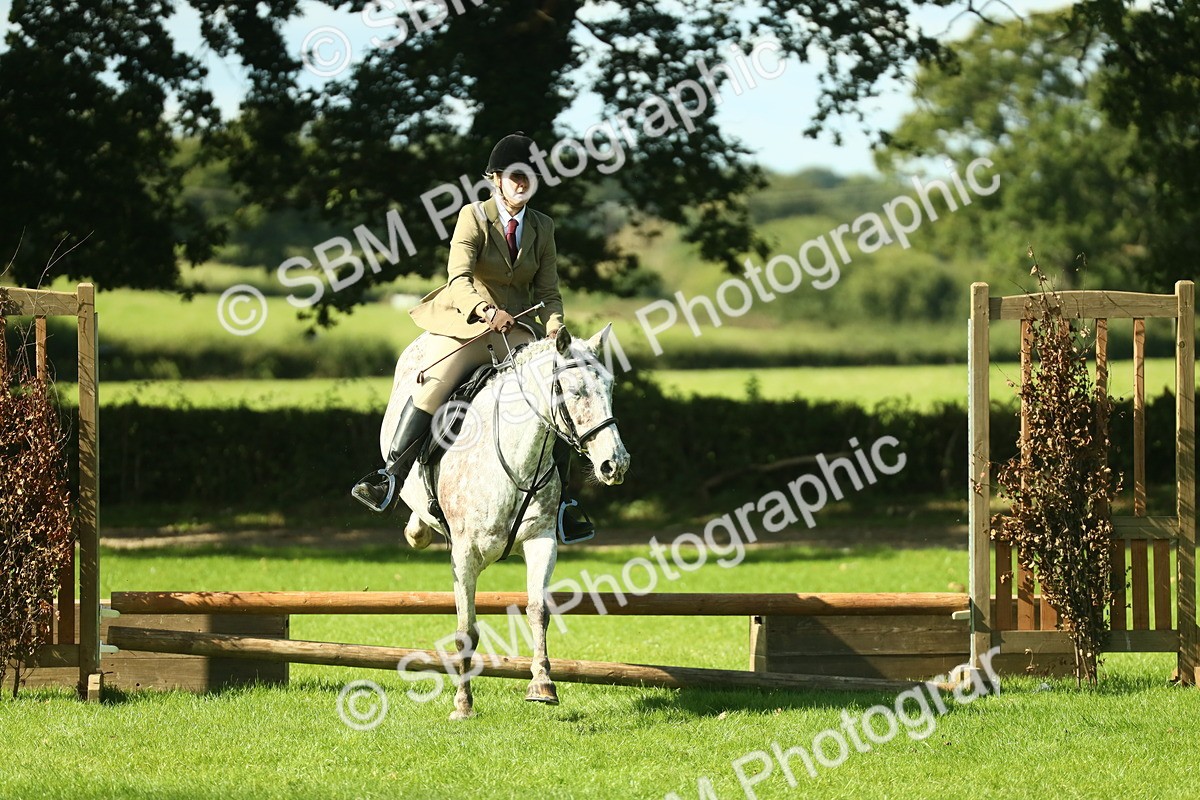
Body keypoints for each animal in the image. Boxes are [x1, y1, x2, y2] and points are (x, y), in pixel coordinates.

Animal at [380, 324, 630, 719]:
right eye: (574, 391)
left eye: (609, 388)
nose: (614, 464)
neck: (517, 459)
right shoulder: (464, 556)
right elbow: (466, 631)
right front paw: (463, 705)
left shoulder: (541, 540)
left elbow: (538, 611)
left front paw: (542, 685)